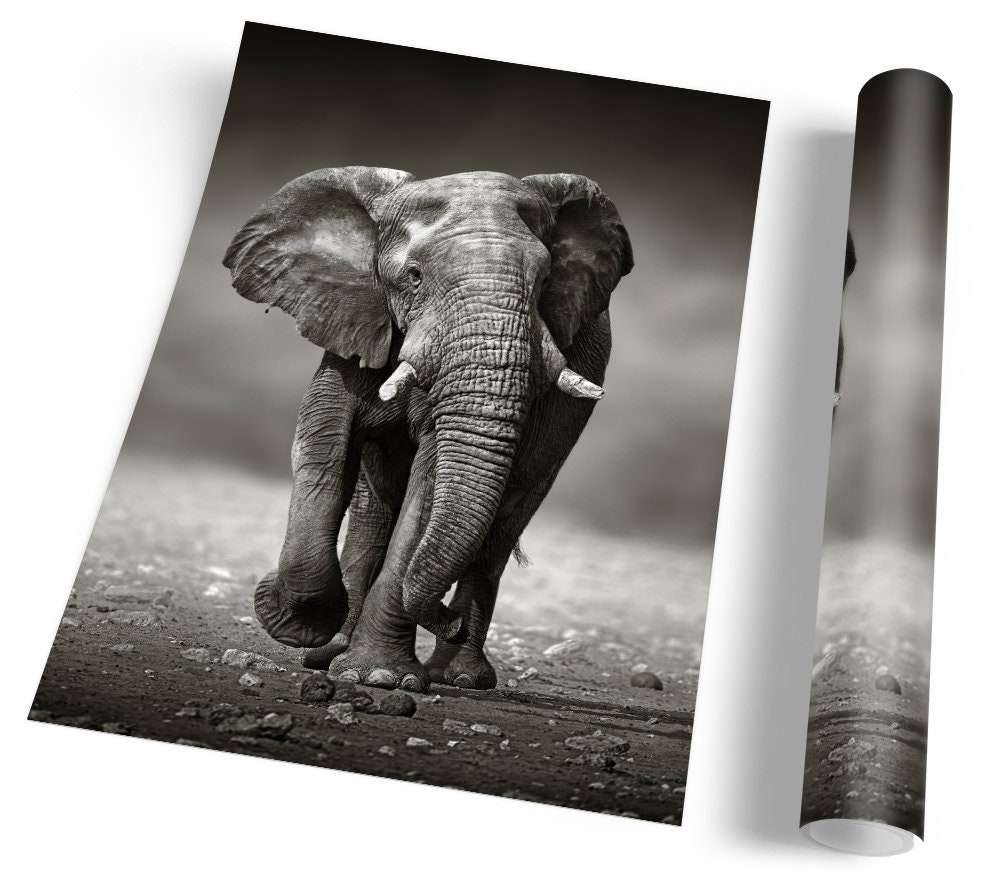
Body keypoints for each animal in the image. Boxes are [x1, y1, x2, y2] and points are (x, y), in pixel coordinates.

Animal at [224, 167, 633, 691]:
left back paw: (458, 676)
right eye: (413, 277)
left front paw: (378, 676)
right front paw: (301, 623)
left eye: (544, 282)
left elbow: (430, 485)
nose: (447, 622)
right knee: (373, 511)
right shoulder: (356, 322)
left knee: (501, 527)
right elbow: (322, 445)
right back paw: (331, 652)